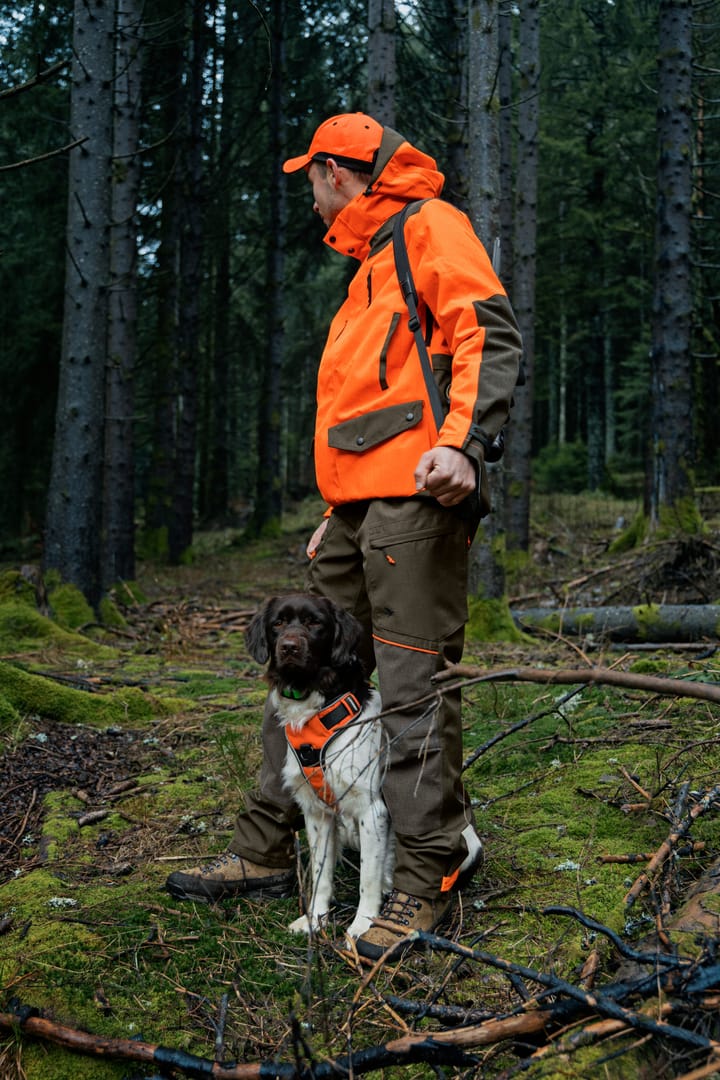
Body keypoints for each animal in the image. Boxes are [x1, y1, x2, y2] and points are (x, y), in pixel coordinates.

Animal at [246, 596, 395, 941]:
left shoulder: (371, 809)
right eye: (277, 623)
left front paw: (363, 925)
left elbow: (368, 876)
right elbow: (320, 873)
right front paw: (315, 919)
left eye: (315, 623)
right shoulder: (316, 813)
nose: (288, 647)